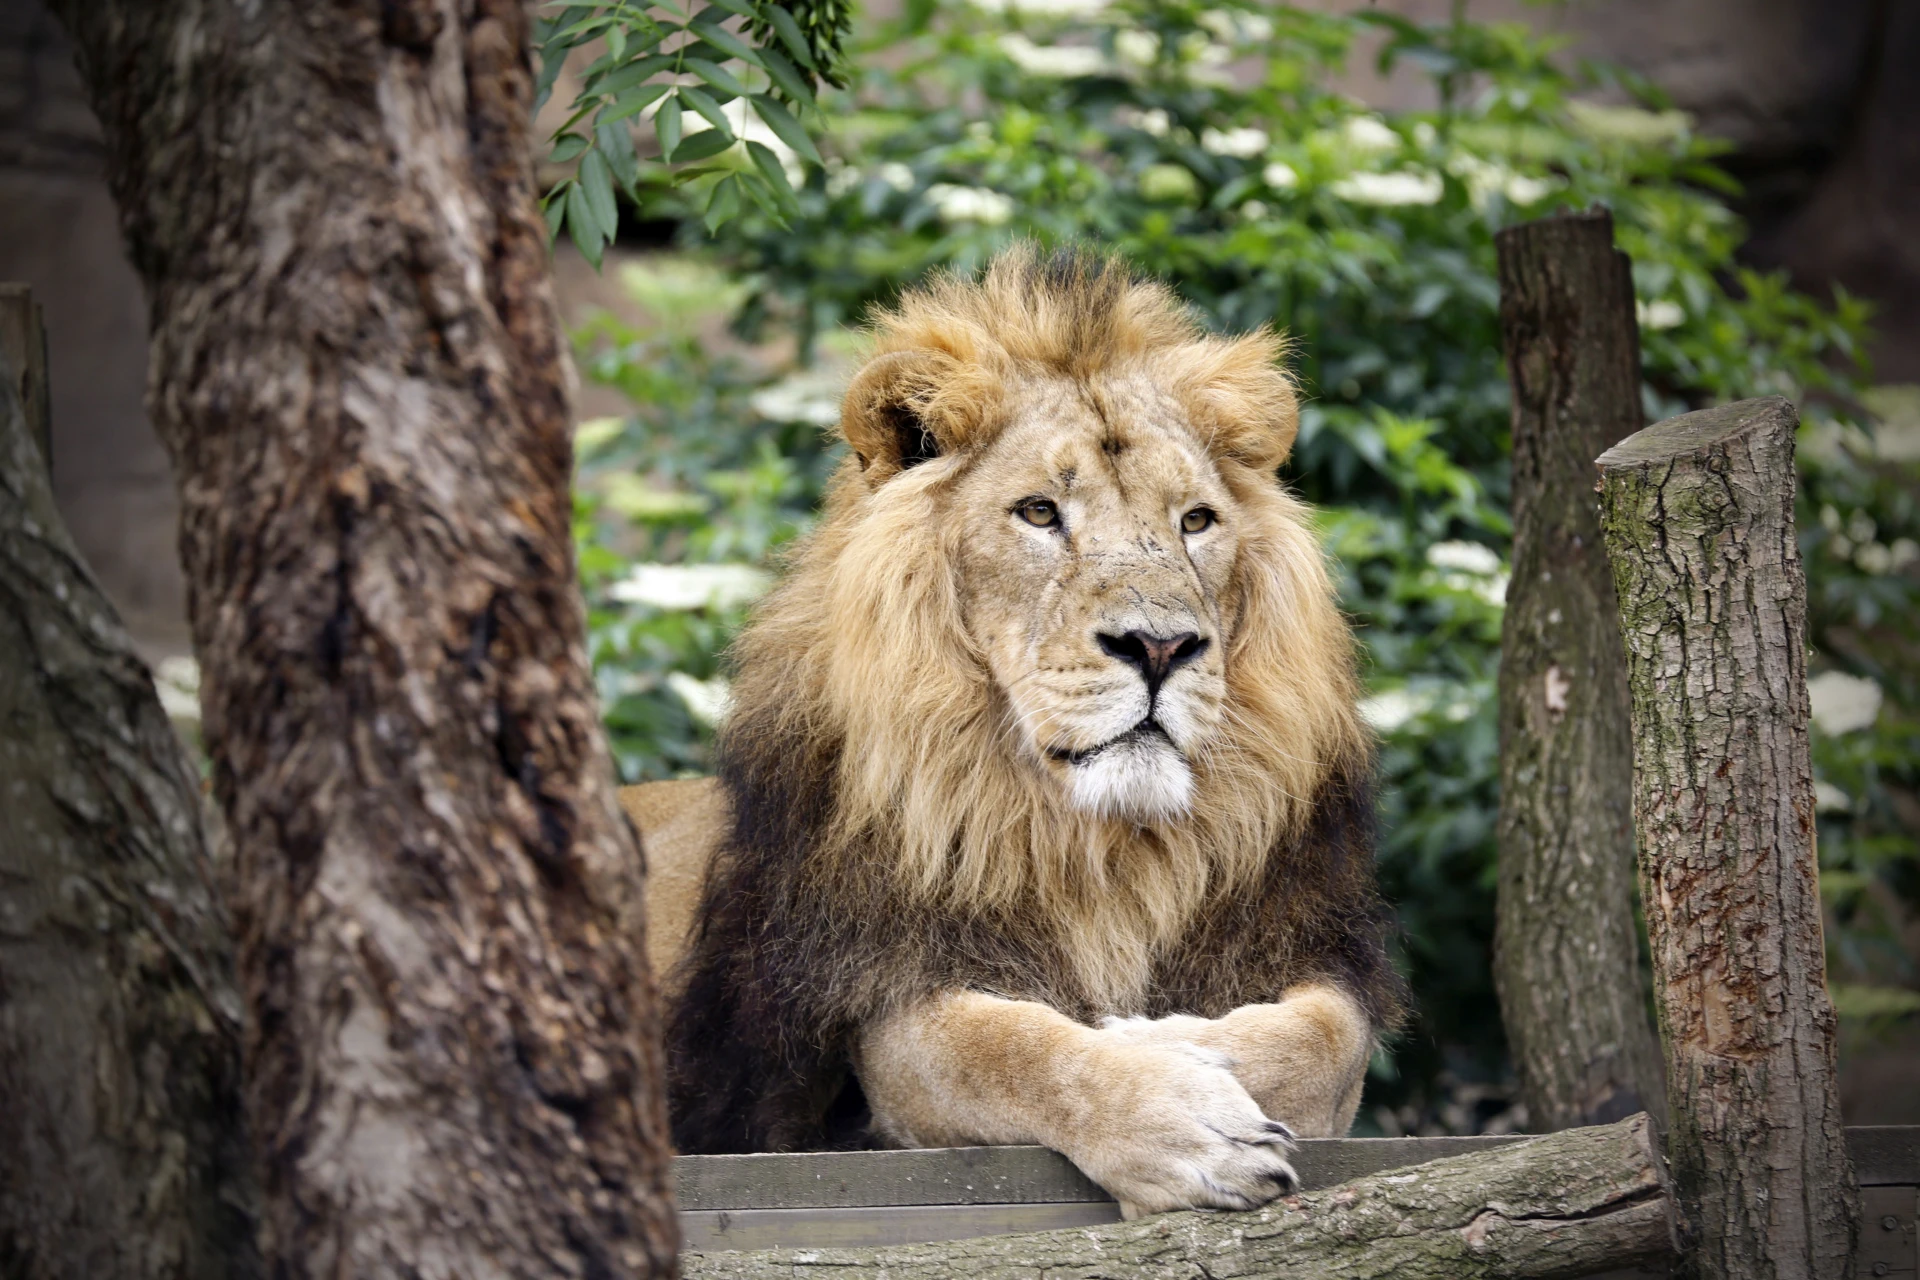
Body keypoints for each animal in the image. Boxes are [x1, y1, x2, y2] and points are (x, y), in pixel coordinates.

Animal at [619, 247, 1403, 1219]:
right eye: (1038, 513)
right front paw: (1179, 1110)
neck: (1102, 854)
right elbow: (1017, 1048)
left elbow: (1326, 1038)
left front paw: (1183, 1040)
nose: (1160, 646)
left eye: (1195, 521)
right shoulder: (886, 1003)